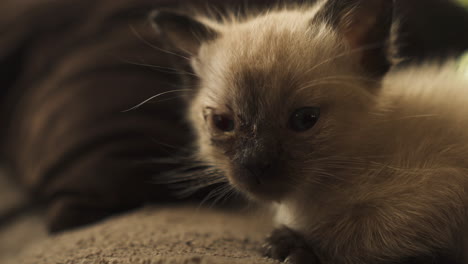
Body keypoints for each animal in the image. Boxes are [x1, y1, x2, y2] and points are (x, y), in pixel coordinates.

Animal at [152, 0, 468, 264]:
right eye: (222, 122)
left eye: (305, 119)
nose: (256, 164)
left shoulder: (442, 190)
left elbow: (368, 227)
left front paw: (293, 245)